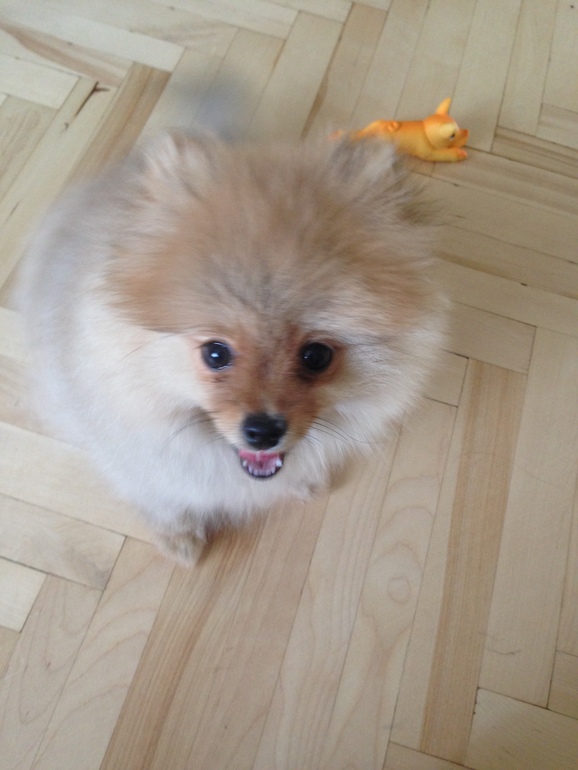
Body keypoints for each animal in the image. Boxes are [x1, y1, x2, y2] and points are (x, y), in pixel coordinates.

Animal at [18, 132, 445, 564]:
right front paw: (178, 537)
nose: (263, 431)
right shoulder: (133, 453)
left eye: (316, 356)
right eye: (216, 353)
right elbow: (161, 500)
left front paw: (303, 481)